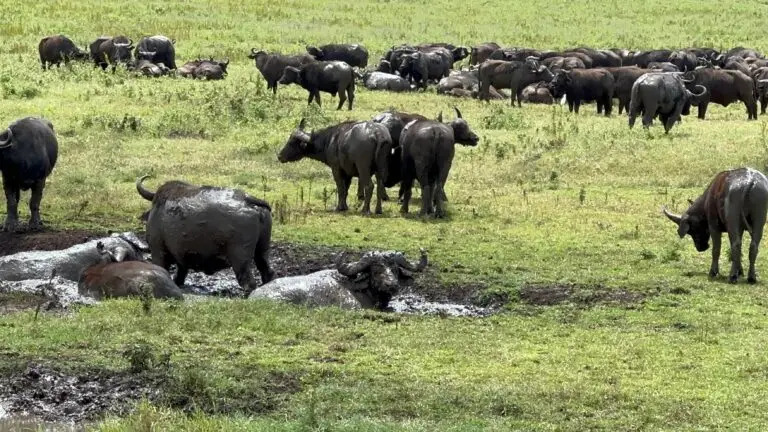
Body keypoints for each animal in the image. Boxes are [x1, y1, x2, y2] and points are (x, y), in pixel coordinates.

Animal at [136, 176, 274, 294]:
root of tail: (248, 199)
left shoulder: (158, 253)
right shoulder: (181, 257)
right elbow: (180, 274)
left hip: (240, 257)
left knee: (248, 282)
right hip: (262, 250)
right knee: (267, 271)